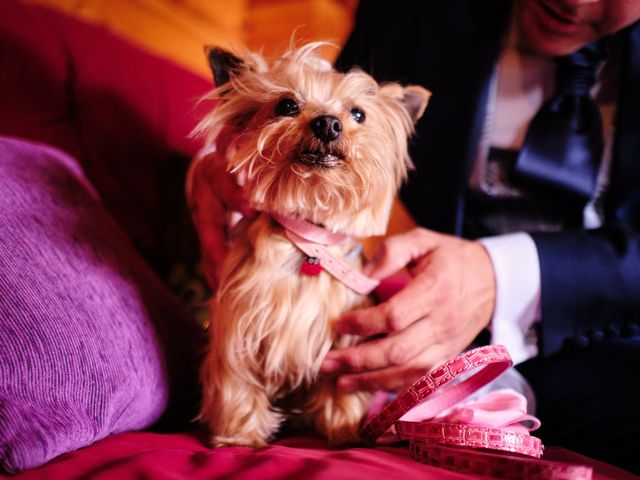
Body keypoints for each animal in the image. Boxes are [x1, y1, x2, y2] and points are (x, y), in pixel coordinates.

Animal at [190, 43, 430, 448]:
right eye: (286, 105)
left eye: (358, 113)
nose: (328, 123)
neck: (309, 242)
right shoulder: (238, 328)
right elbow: (238, 382)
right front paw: (239, 437)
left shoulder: (346, 345)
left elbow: (341, 389)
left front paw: (345, 434)